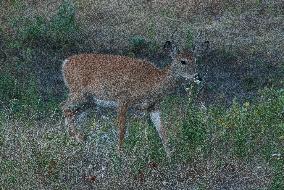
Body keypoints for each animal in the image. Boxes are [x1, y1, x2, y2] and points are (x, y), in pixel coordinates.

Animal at [60, 40, 206, 157]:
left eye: (196, 60)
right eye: (183, 61)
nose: (198, 76)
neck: (153, 81)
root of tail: (65, 63)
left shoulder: (153, 107)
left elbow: (162, 130)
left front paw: (170, 155)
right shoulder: (124, 99)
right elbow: (122, 129)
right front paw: (119, 153)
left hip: (90, 102)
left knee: (72, 113)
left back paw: (73, 141)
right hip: (78, 92)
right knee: (64, 107)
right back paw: (79, 139)